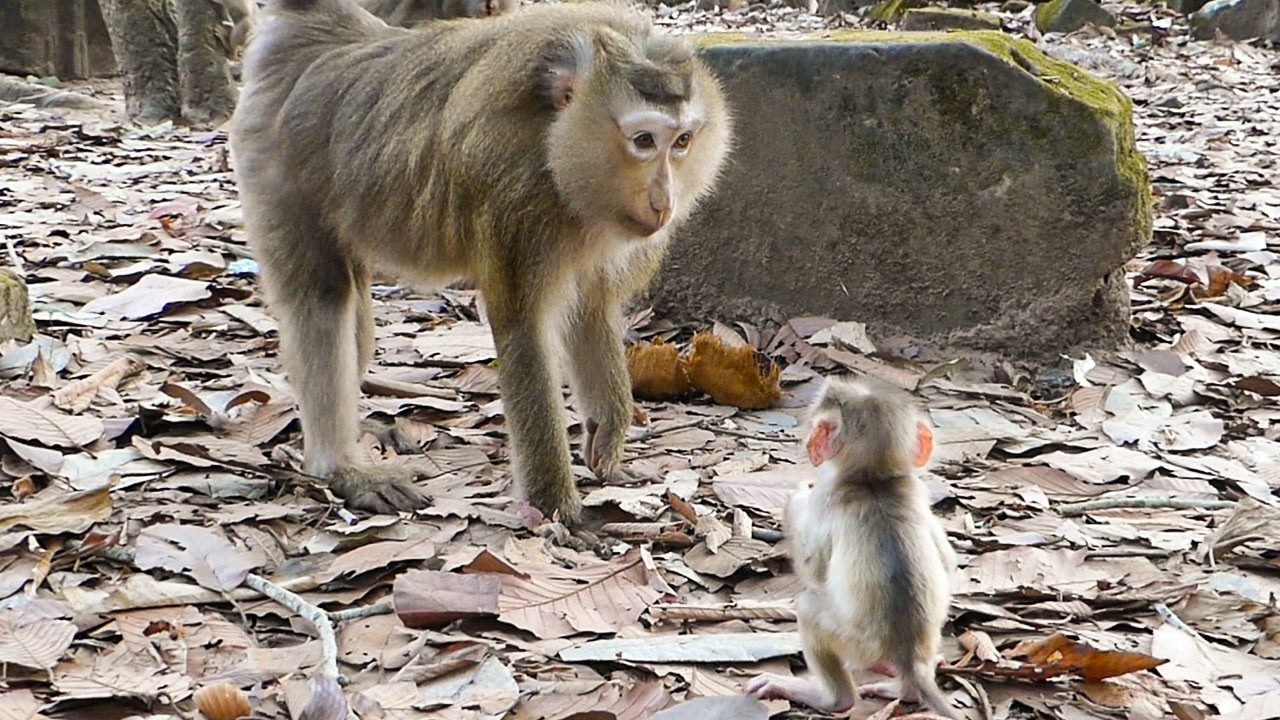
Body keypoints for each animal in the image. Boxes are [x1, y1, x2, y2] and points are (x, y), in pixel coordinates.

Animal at [229, 0, 732, 519]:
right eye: (644, 141)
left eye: (683, 142)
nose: (664, 200)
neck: (555, 146)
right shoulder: (517, 200)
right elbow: (522, 331)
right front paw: (556, 507)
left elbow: (592, 309)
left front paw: (608, 436)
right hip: (273, 161)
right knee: (323, 298)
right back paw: (340, 467)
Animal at [745, 377, 957, 718]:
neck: (872, 481)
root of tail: (907, 655)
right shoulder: (917, 490)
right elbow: (949, 561)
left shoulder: (827, 497)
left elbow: (813, 570)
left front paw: (796, 501)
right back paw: (904, 688)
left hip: (858, 644)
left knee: (809, 609)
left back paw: (833, 699)